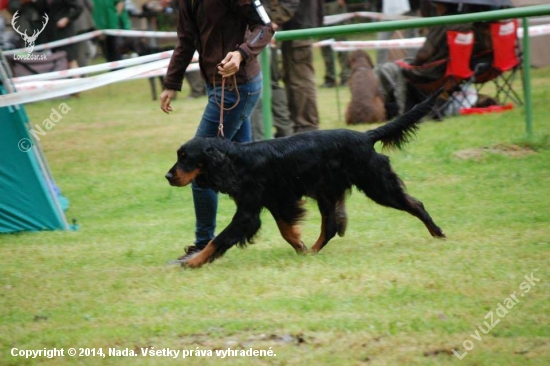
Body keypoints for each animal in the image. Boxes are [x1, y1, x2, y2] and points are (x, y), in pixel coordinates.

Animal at [166, 93, 446, 268]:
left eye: (186, 157)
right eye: (178, 156)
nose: (168, 176)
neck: (236, 160)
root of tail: (365, 137)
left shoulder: (249, 211)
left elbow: (219, 239)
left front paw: (193, 261)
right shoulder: (276, 200)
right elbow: (286, 229)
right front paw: (300, 246)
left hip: (376, 184)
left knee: (415, 204)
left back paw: (438, 233)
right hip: (327, 192)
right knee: (330, 227)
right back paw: (312, 250)